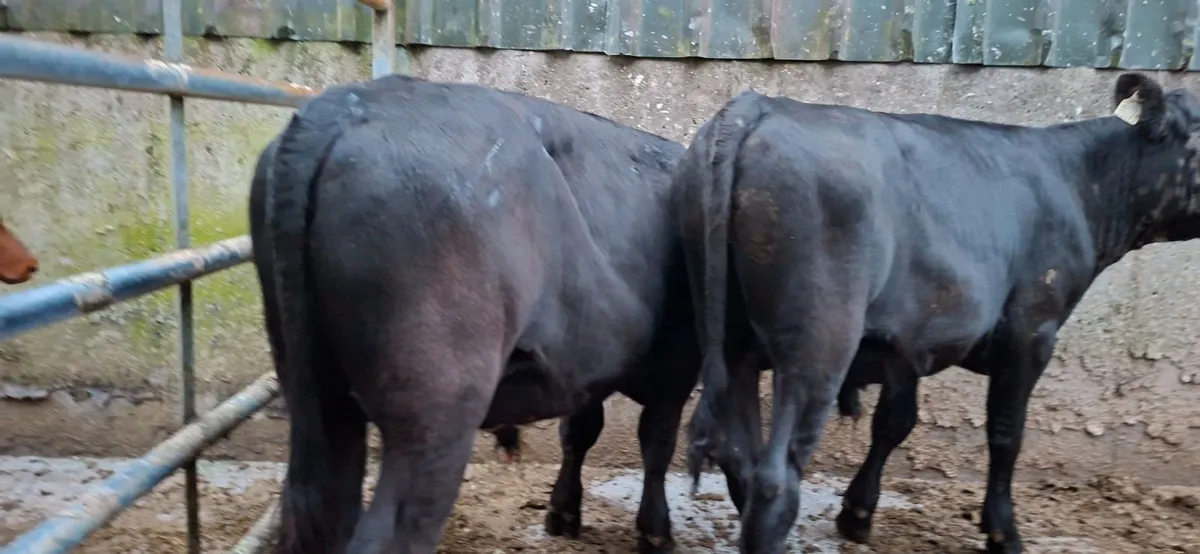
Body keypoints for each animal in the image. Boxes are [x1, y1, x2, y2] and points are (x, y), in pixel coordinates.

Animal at [249, 73, 710, 554]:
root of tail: (349, 103)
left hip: (317, 393)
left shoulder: (591, 365)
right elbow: (655, 442)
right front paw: (655, 532)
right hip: (437, 410)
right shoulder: (677, 364)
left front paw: (564, 512)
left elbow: (581, 430)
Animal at [676, 72, 1200, 554]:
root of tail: (757, 105)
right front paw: (1003, 532)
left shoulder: (910, 340)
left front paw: (857, 512)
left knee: (740, 454)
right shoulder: (1032, 330)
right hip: (819, 344)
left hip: (731, 339)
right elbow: (1006, 435)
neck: (1082, 183)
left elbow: (894, 421)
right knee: (775, 476)